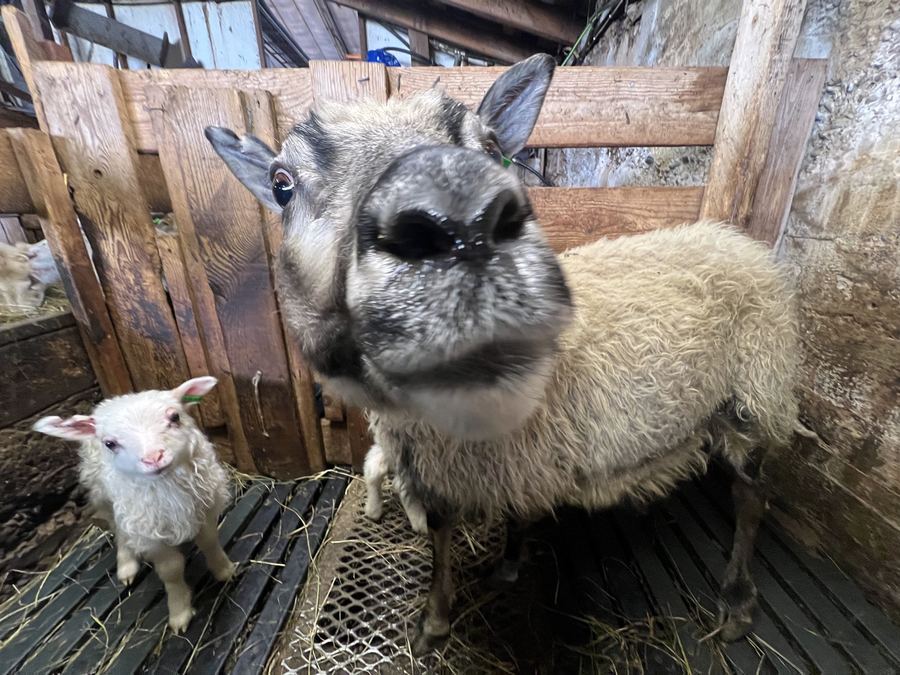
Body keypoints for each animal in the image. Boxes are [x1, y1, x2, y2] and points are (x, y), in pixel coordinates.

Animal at [33, 376, 234, 634]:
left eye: (175, 417)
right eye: (110, 443)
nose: (153, 458)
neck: (168, 486)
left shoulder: (206, 508)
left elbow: (209, 542)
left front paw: (224, 570)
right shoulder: (149, 534)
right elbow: (171, 570)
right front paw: (179, 611)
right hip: (104, 497)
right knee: (119, 530)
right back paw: (127, 565)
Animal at [206, 53, 799, 654]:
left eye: (492, 148)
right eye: (282, 184)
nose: (456, 225)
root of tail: (730, 236)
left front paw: (436, 618)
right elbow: (455, 532)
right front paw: (477, 588)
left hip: (756, 392)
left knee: (753, 495)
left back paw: (736, 603)